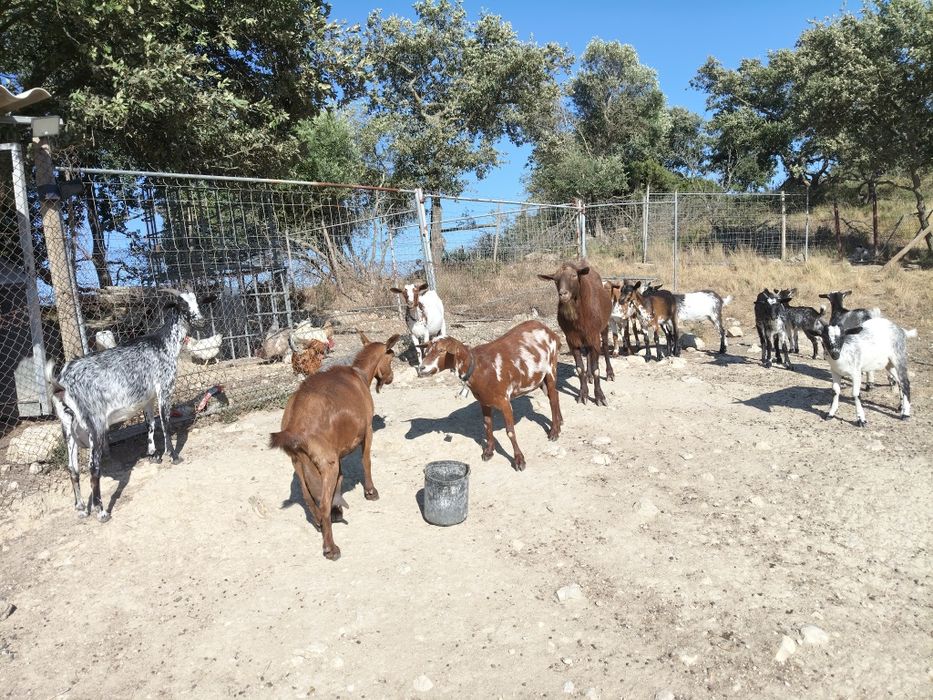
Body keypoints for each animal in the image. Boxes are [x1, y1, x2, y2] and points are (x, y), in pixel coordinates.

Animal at [45, 288, 216, 521]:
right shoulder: (165, 388)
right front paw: (173, 456)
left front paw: (154, 455)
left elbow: (150, 424)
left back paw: (80, 508)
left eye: (198, 302)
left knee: (72, 468)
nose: (201, 321)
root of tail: (62, 383)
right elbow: (165, 423)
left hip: (67, 427)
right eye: (181, 305)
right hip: (95, 424)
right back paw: (101, 512)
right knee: (93, 467)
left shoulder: (148, 398)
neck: (163, 344)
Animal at [270, 331, 399, 560]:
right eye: (390, 358)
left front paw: (337, 509)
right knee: (321, 502)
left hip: (299, 463)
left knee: (309, 498)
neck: (360, 374)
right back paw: (331, 548)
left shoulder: (337, 452)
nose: (391, 377)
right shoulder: (367, 430)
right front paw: (371, 492)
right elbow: (366, 462)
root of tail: (295, 426)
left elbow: (340, 479)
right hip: (326, 463)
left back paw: (321, 524)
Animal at [416, 320, 562, 470]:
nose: (421, 368)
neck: (478, 367)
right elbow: (487, 425)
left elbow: (510, 431)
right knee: (554, 394)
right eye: (426, 351)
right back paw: (560, 422)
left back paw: (554, 432)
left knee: (552, 398)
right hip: (538, 378)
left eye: (441, 351)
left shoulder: (505, 401)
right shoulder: (484, 401)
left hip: (551, 369)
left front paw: (519, 460)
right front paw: (489, 451)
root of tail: (550, 331)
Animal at [538, 261, 613, 405]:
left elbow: (596, 369)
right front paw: (583, 394)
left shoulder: (594, 336)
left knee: (606, 346)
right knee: (588, 352)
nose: (563, 294)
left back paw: (610, 373)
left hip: (604, 325)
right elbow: (579, 368)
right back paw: (589, 376)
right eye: (555, 279)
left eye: (574, 275)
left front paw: (599, 397)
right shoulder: (572, 339)